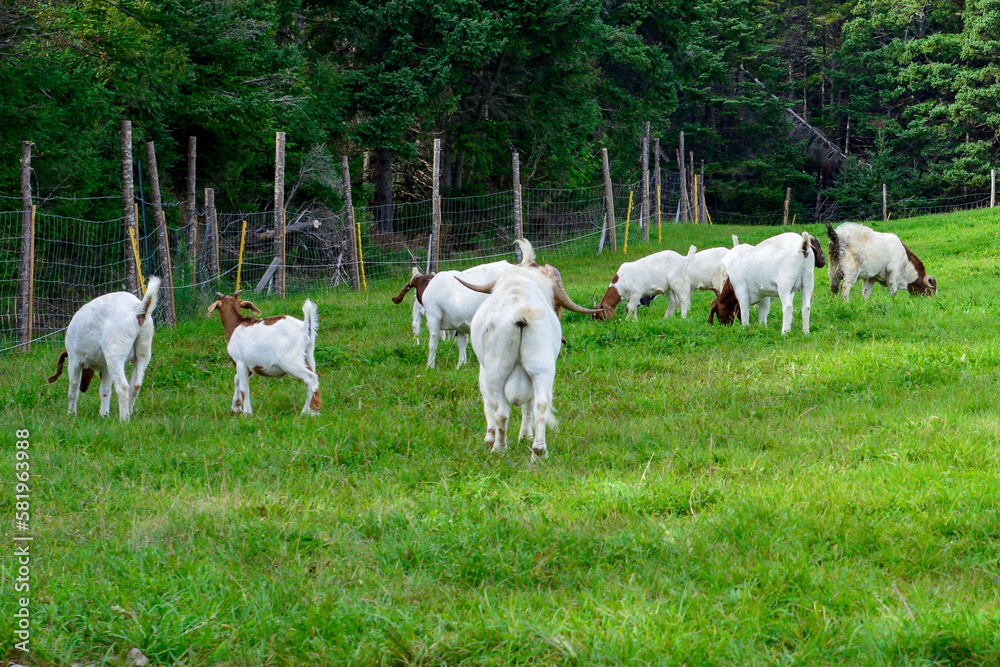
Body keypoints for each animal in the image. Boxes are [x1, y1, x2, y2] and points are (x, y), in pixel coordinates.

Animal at [47, 277, 162, 420]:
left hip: (115, 355)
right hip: (143, 352)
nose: (83, 388)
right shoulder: (106, 367)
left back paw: (124, 419)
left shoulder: (74, 361)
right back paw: (129, 412)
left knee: (123, 386)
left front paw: (71, 414)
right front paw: (104, 414)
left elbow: (73, 389)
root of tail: (138, 310)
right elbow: (105, 391)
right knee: (136, 385)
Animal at [458, 245, 602, 459]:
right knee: (540, 405)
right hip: (542, 367)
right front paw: (525, 436)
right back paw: (539, 450)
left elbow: (489, 405)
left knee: (501, 411)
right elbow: (528, 405)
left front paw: (490, 438)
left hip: (496, 371)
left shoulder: (484, 372)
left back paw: (500, 448)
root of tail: (521, 311)